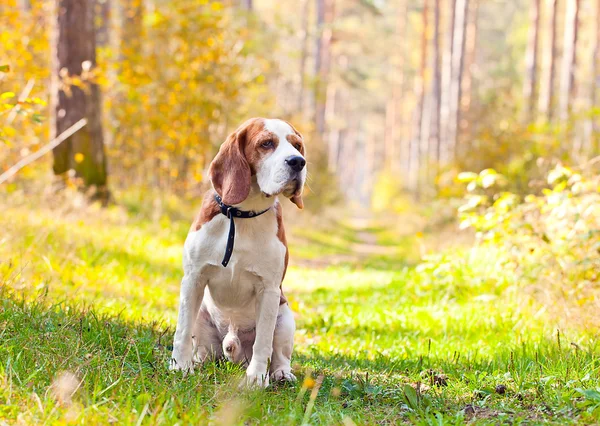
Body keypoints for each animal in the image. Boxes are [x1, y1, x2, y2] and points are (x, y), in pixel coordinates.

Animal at [171, 118, 308, 388]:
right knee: (203, 350)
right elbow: (181, 331)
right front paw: (180, 367)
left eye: (297, 146)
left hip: (285, 318)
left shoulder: (269, 290)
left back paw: (281, 373)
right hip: (202, 315)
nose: (298, 161)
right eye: (266, 143)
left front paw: (256, 379)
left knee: (279, 355)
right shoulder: (192, 279)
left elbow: (263, 343)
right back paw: (198, 363)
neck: (243, 214)